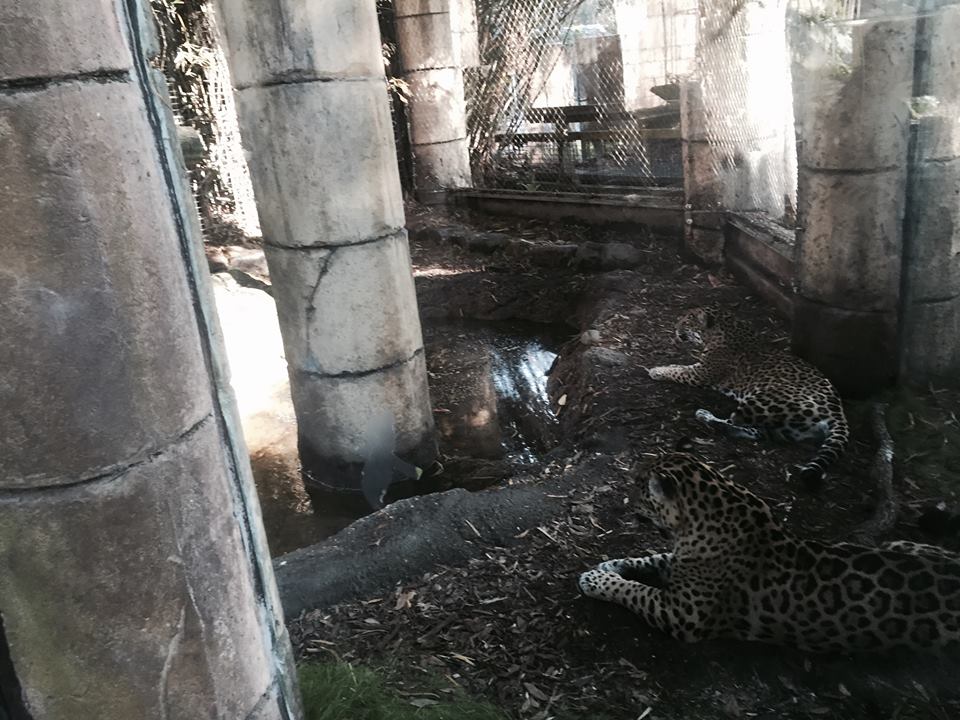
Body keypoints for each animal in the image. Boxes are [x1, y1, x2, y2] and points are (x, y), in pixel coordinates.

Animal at [578, 451, 960, 652]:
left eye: (639, 486)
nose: (629, 485)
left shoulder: (684, 613)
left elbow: (636, 591)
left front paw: (596, 580)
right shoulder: (682, 564)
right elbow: (650, 559)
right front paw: (610, 566)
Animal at [647, 303, 848, 491]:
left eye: (686, 322)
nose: (675, 327)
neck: (721, 328)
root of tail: (836, 409)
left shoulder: (700, 374)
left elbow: (679, 370)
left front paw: (656, 370)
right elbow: (679, 367)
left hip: (762, 401)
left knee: (734, 420)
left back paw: (704, 415)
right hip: (787, 428)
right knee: (755, 432)